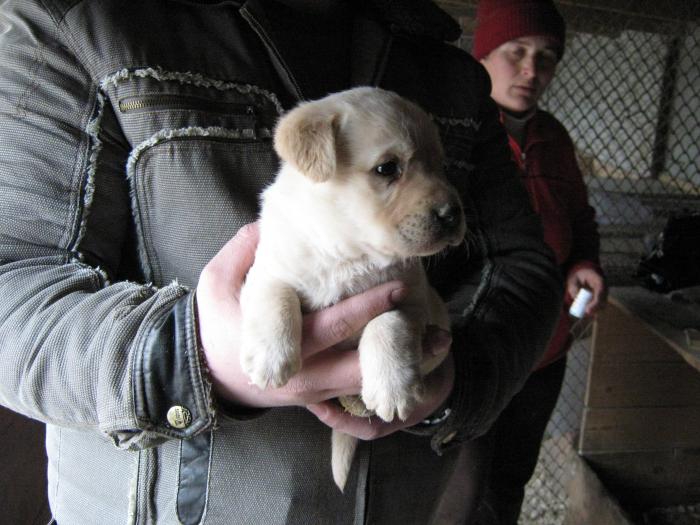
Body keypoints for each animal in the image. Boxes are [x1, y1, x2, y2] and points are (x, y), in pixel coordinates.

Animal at [196, 221, 454, 430]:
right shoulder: (262, 274)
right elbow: (276, 293)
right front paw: (270, 357)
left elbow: (388, 321)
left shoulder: (412, 302)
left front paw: (391, 386)